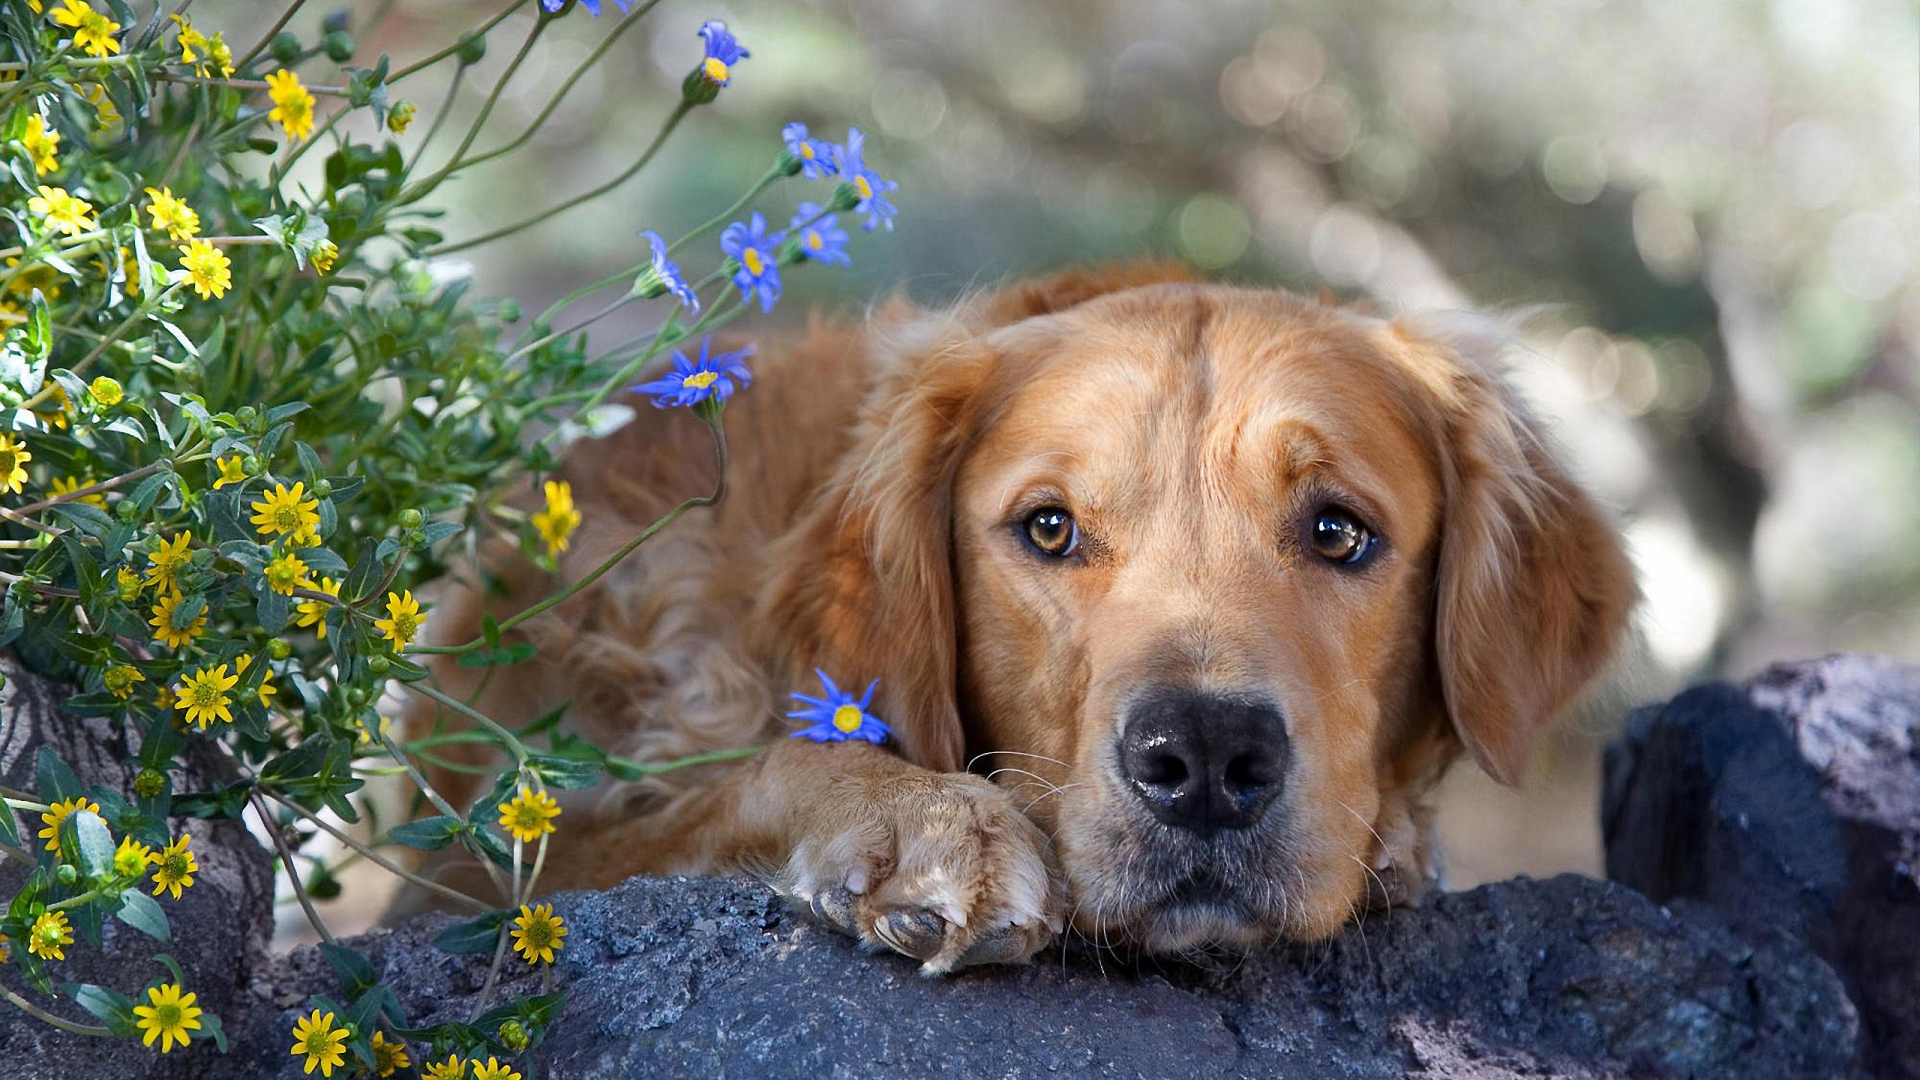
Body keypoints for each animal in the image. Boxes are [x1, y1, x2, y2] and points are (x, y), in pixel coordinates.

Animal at [424, 265, 1635, 972]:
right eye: (1049, 528)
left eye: (1338, 532)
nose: (1205, 757)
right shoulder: (495, 864)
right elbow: (746, 776)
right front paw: (919, 818)